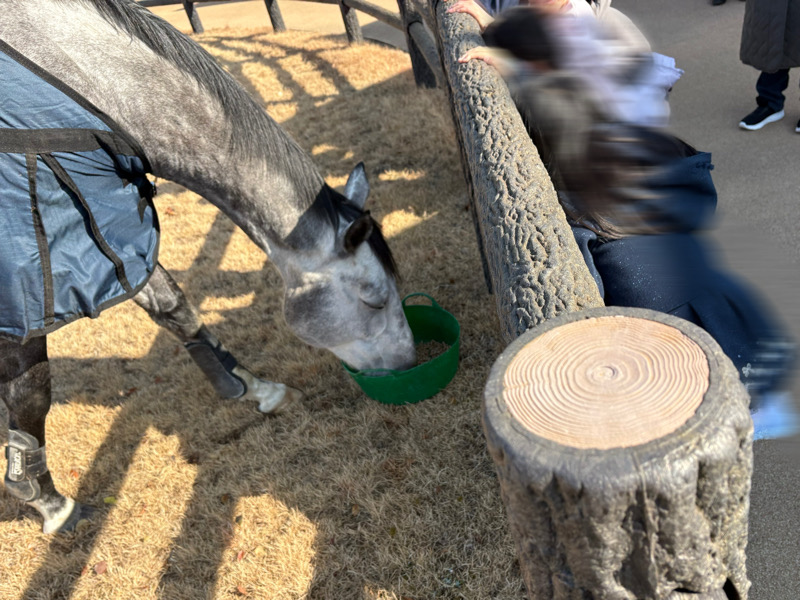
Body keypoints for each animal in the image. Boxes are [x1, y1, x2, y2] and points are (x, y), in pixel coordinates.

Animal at [0, 0, 416, 534]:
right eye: (375, 299)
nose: (409, 364)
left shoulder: (108, 237)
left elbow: (177, 310)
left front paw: (253, 388)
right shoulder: (29, 288)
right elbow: (31, 393)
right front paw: (50, 503)